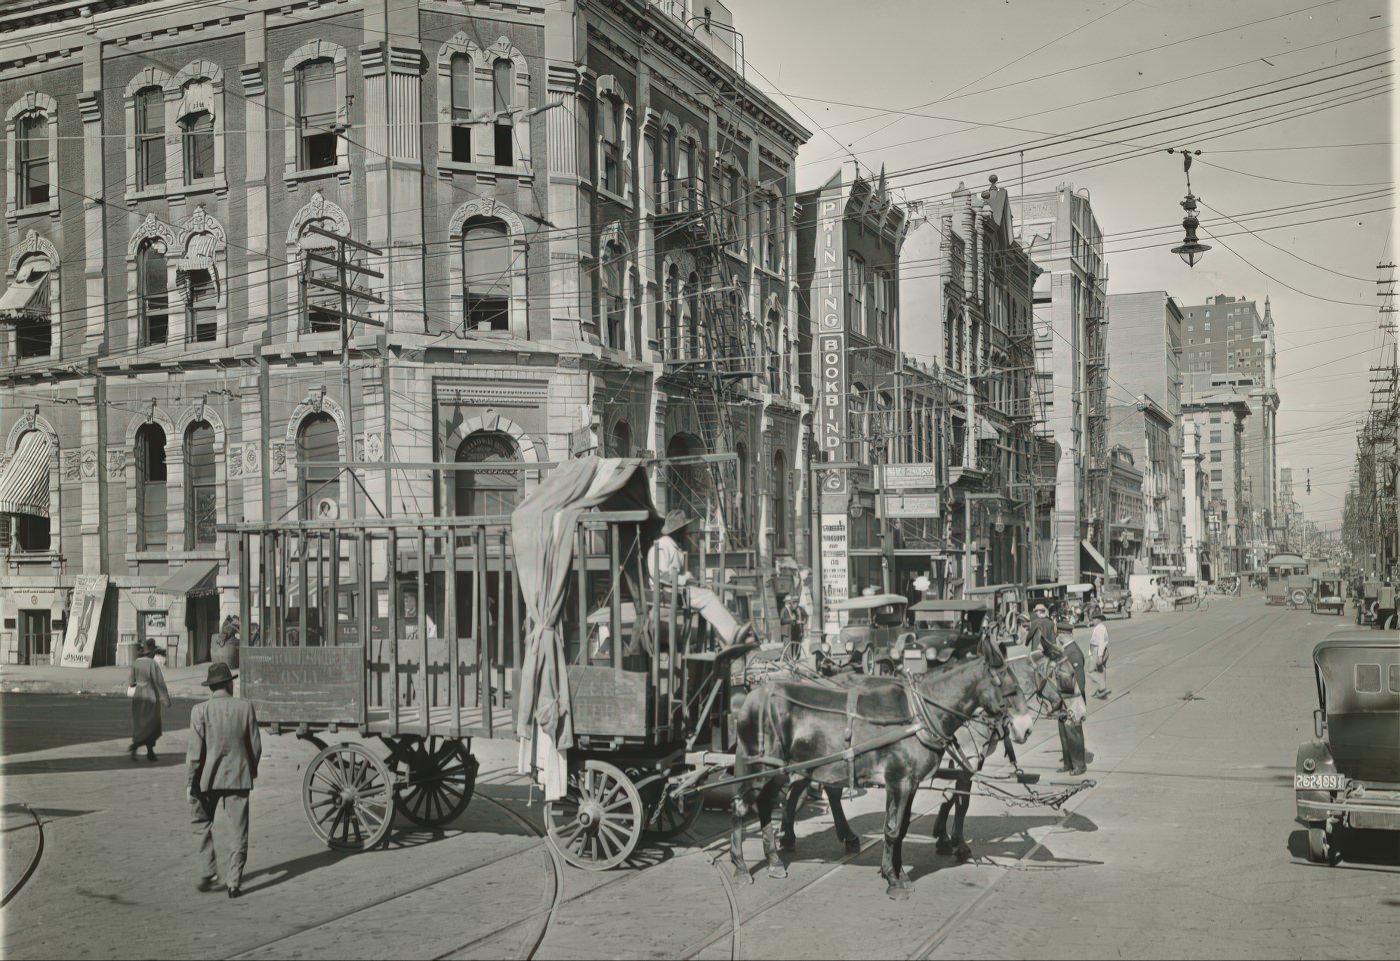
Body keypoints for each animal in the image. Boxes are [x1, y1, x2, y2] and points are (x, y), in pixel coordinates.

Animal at [728, 635, 1035, 898]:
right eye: (1008, 687)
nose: (1027, 728)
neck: (919, 715)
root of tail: (752, 697)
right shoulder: (899, 782)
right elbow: (893, 828)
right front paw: (893, 879)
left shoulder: (910, 783)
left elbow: (903, 827)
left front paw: (898, 873)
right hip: (760, 768)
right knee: (741, 807)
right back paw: (741, 867)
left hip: (778, 771)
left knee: (765, 804)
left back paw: (774, 860)